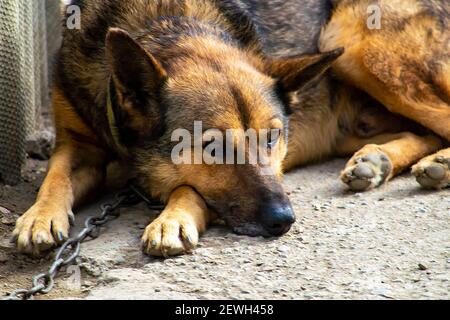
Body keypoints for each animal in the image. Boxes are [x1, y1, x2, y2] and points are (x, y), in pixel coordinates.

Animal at [12, 0, 448, 255]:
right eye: (212, 147)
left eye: (272, 137)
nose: (284, 219)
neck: (167, 22)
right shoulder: (78, 145)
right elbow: (55, 176)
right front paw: (39, 216)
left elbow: (189, 185)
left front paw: (173, 218)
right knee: (425, 131)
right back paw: (377, 161)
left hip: (349, 42)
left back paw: (436, 165)